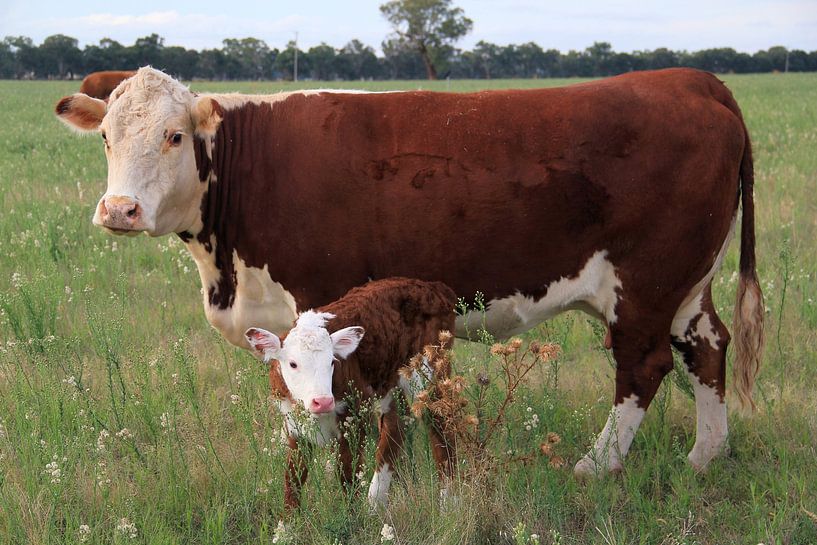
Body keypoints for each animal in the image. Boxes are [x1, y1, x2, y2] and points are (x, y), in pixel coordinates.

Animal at [55, 66, 765, 478]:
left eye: (174, 135)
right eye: (106, 137)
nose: (119, 210)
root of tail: (689, 79)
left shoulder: (324, 296)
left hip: (645, 281)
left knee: (644, 365)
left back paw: (595, 466)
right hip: (685, 285)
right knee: (707, 346)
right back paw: (706, 456)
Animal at [245, 277, 457, 508]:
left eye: (332, 362)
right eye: (292, 364)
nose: (322, 401)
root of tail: (433, 286)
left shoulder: (353, 419)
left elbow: (348, 476)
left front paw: (352, 516)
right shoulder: (293, 423)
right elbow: (293, 478)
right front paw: (289, 519)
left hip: (428, 370)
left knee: (441, 424)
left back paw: (448, 502)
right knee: (396, 425)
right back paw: (375, 503)